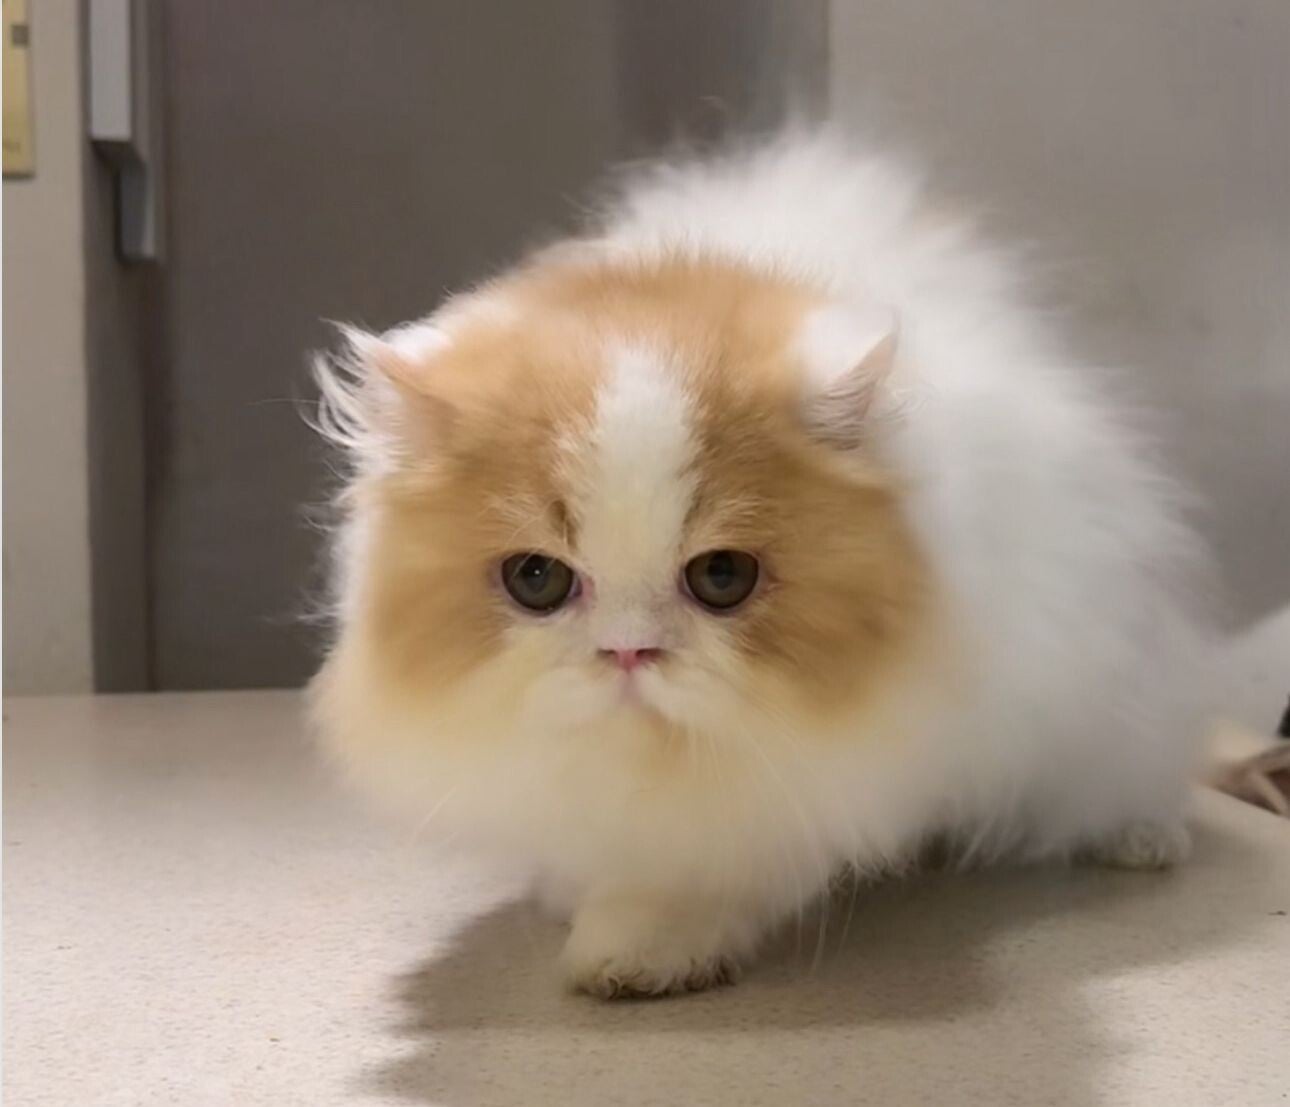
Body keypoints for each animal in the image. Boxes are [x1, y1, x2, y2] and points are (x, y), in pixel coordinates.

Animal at [309, 131, 1214, 998]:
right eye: (538, 580)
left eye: (722, 578)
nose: (628, 651)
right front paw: (569, 895)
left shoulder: (806, 771)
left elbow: (710, 868)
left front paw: (636, 950)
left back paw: (1144, 839)